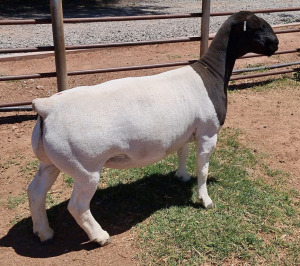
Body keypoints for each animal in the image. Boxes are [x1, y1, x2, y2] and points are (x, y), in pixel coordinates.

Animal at [27, 11, 278, 246]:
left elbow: (183, 152)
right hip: (85, 168)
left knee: (35, 192)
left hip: (51, 160)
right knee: (77, 206)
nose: (275, 44)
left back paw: (43, 232)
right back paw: (100, 236)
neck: (211, 73)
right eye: (257, 26)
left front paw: (183, 176)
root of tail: (47, 107)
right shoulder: (208, 133)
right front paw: (205, 200)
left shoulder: (186, 131)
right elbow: (204, 169)